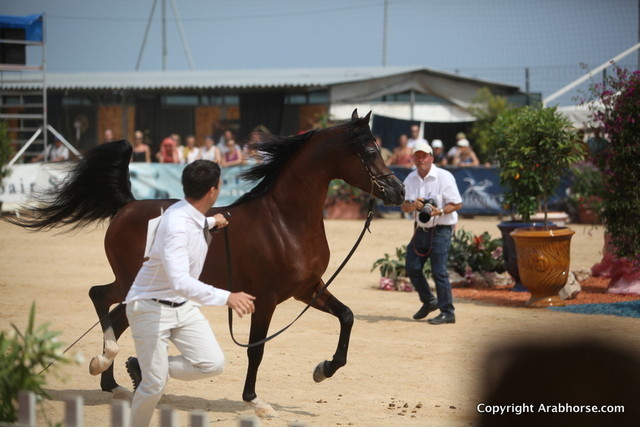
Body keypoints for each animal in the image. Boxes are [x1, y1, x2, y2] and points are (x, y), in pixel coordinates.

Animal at [5, 110, 405, 418]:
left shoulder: (307, 289)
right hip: (130, 279)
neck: (285, 221)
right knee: (99, 297)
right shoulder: (267, 298)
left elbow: (347, 317)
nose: (398, 192)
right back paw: (107, 365)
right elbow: (257, 350)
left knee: (116, 316)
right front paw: (256, 402)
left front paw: (324, 370)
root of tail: (128, 205)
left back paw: (116, 383)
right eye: (371, 150)